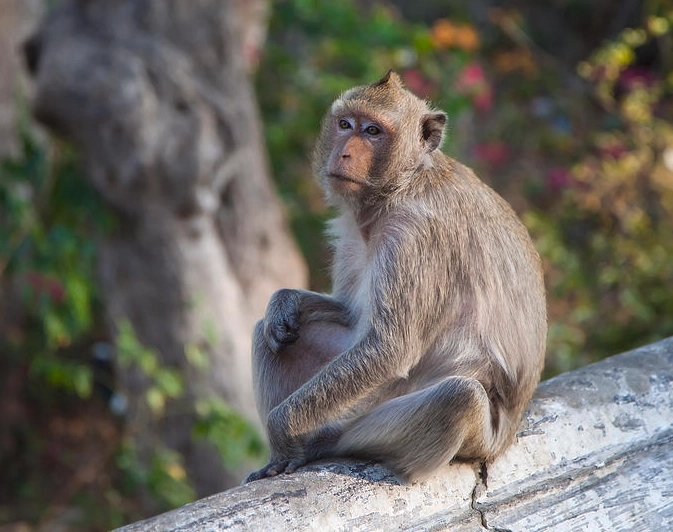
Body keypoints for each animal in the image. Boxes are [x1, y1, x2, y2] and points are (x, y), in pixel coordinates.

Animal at [244, 71, 546, 483]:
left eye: (373, 131)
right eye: (345, 124)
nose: (344, 153)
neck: (403, 184)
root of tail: (504, 439)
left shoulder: (415, 236)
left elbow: (390, 348)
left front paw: (282, 430)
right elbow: (349, 312)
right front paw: (283, 303)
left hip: (416, 426)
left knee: (458, 398)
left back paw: (318, 444)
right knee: (270, 334)